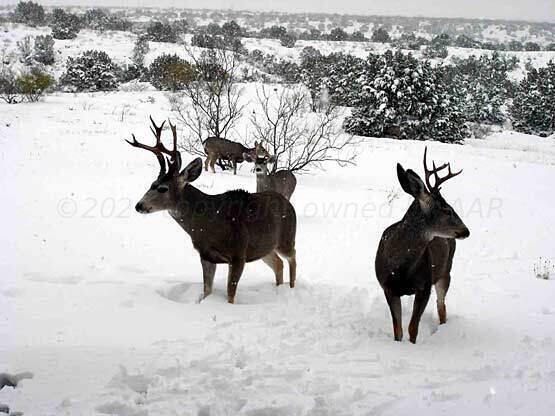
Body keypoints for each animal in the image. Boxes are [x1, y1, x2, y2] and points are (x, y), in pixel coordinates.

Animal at [127, 115, 298, 304]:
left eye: (162, 188)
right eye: (151, 184)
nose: (139, 205)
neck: (208, 222)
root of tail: (288, 204)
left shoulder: (238, 253)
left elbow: (230, 294)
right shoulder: (206, 255)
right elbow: (207, 290)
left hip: (286, 238)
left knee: (293, 257)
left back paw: (291, 288)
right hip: (264, 247)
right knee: (278, 264)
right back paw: (279, 289)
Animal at [376, 148, 472, 342]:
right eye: (447, 210)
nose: (466, 230)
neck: (400, 269)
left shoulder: (424, 286)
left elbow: (413, 328)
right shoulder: (387, 287)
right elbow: (398, 330)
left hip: (445, 272)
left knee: (441, 305)